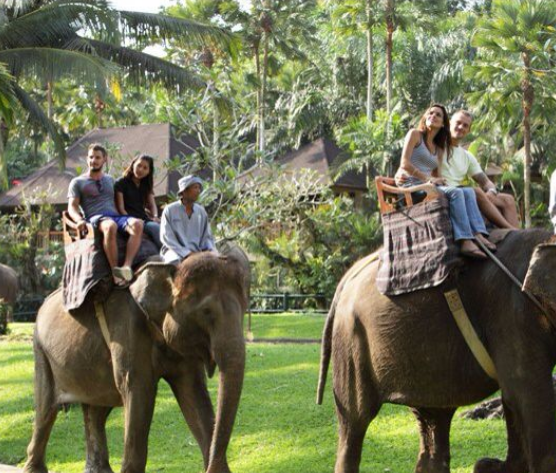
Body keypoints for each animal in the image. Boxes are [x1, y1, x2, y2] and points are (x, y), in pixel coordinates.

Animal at [23, 248, 249, 473]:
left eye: (245, 308)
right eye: (206, 312)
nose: (210, 466)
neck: (168, 269)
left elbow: (193, 393)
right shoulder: (128, 329)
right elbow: (138, 391)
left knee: (96, 408)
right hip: (41, 350)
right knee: (46, 409)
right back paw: (34, 467)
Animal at [317, 228, 556, 473]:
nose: (483, 462)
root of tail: (351, 273)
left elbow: (514, 399)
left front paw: (488, 465)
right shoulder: (512, 314)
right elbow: (527, 393)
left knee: (434, 417)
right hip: (351, 341)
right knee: (355, 420)